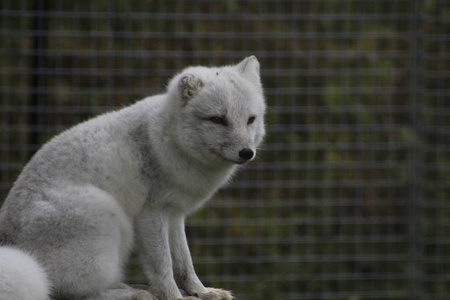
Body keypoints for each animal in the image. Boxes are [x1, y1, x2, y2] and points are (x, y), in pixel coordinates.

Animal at [0, 56, 266, 300]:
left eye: (251, 119)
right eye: (217, 119)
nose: (246, 153)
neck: (169, 138)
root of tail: (7, 237)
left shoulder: (175, 214)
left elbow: (184, 263)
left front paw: (201, 291)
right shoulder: (151, 215)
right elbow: (163, 266)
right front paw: (174, 296)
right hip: (109, 217)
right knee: (72, 291)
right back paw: (133, 293)